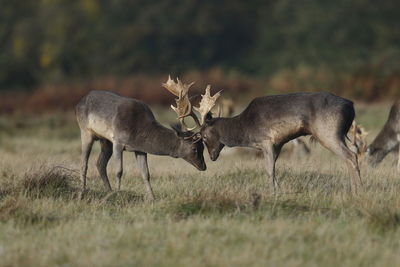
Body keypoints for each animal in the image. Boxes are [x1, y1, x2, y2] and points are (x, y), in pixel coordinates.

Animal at [75, 84, 206, 201]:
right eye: (194, 148)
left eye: (203, 147)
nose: (203, 166)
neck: (138, 131)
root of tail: (79, 102)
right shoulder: (118, 141)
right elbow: (119, 171)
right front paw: (118, 195)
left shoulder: (140, 150)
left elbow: (145, 174)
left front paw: (153, 198)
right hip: (85, 131)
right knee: (84, 164)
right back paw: (82, 194)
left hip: (105, 140)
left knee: (100, 164)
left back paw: (109, 192)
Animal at [166, 80, 362, 194]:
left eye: (204, 137)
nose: (212, 157)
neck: (245, 128)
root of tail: (350, 106)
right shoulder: (278, 144)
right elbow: (272, 168)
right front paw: (277, 190)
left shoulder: (266, 140)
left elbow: (269, 169)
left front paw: (273, 192)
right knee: (351, 155)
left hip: (328, 131)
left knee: (351, 156)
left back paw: (358, 190)